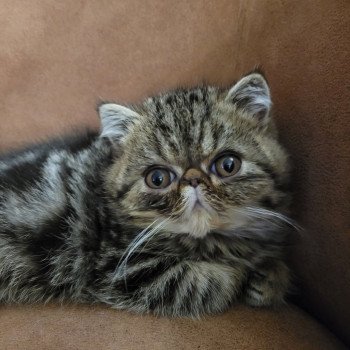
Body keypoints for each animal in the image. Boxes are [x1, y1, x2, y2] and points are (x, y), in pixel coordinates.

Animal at [0, 71, 292, 318]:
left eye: (228, 165)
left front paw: (272, 276)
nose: (193, 179)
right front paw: (245, 272)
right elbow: (210, 282)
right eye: (158, 178)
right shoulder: (123, 270)